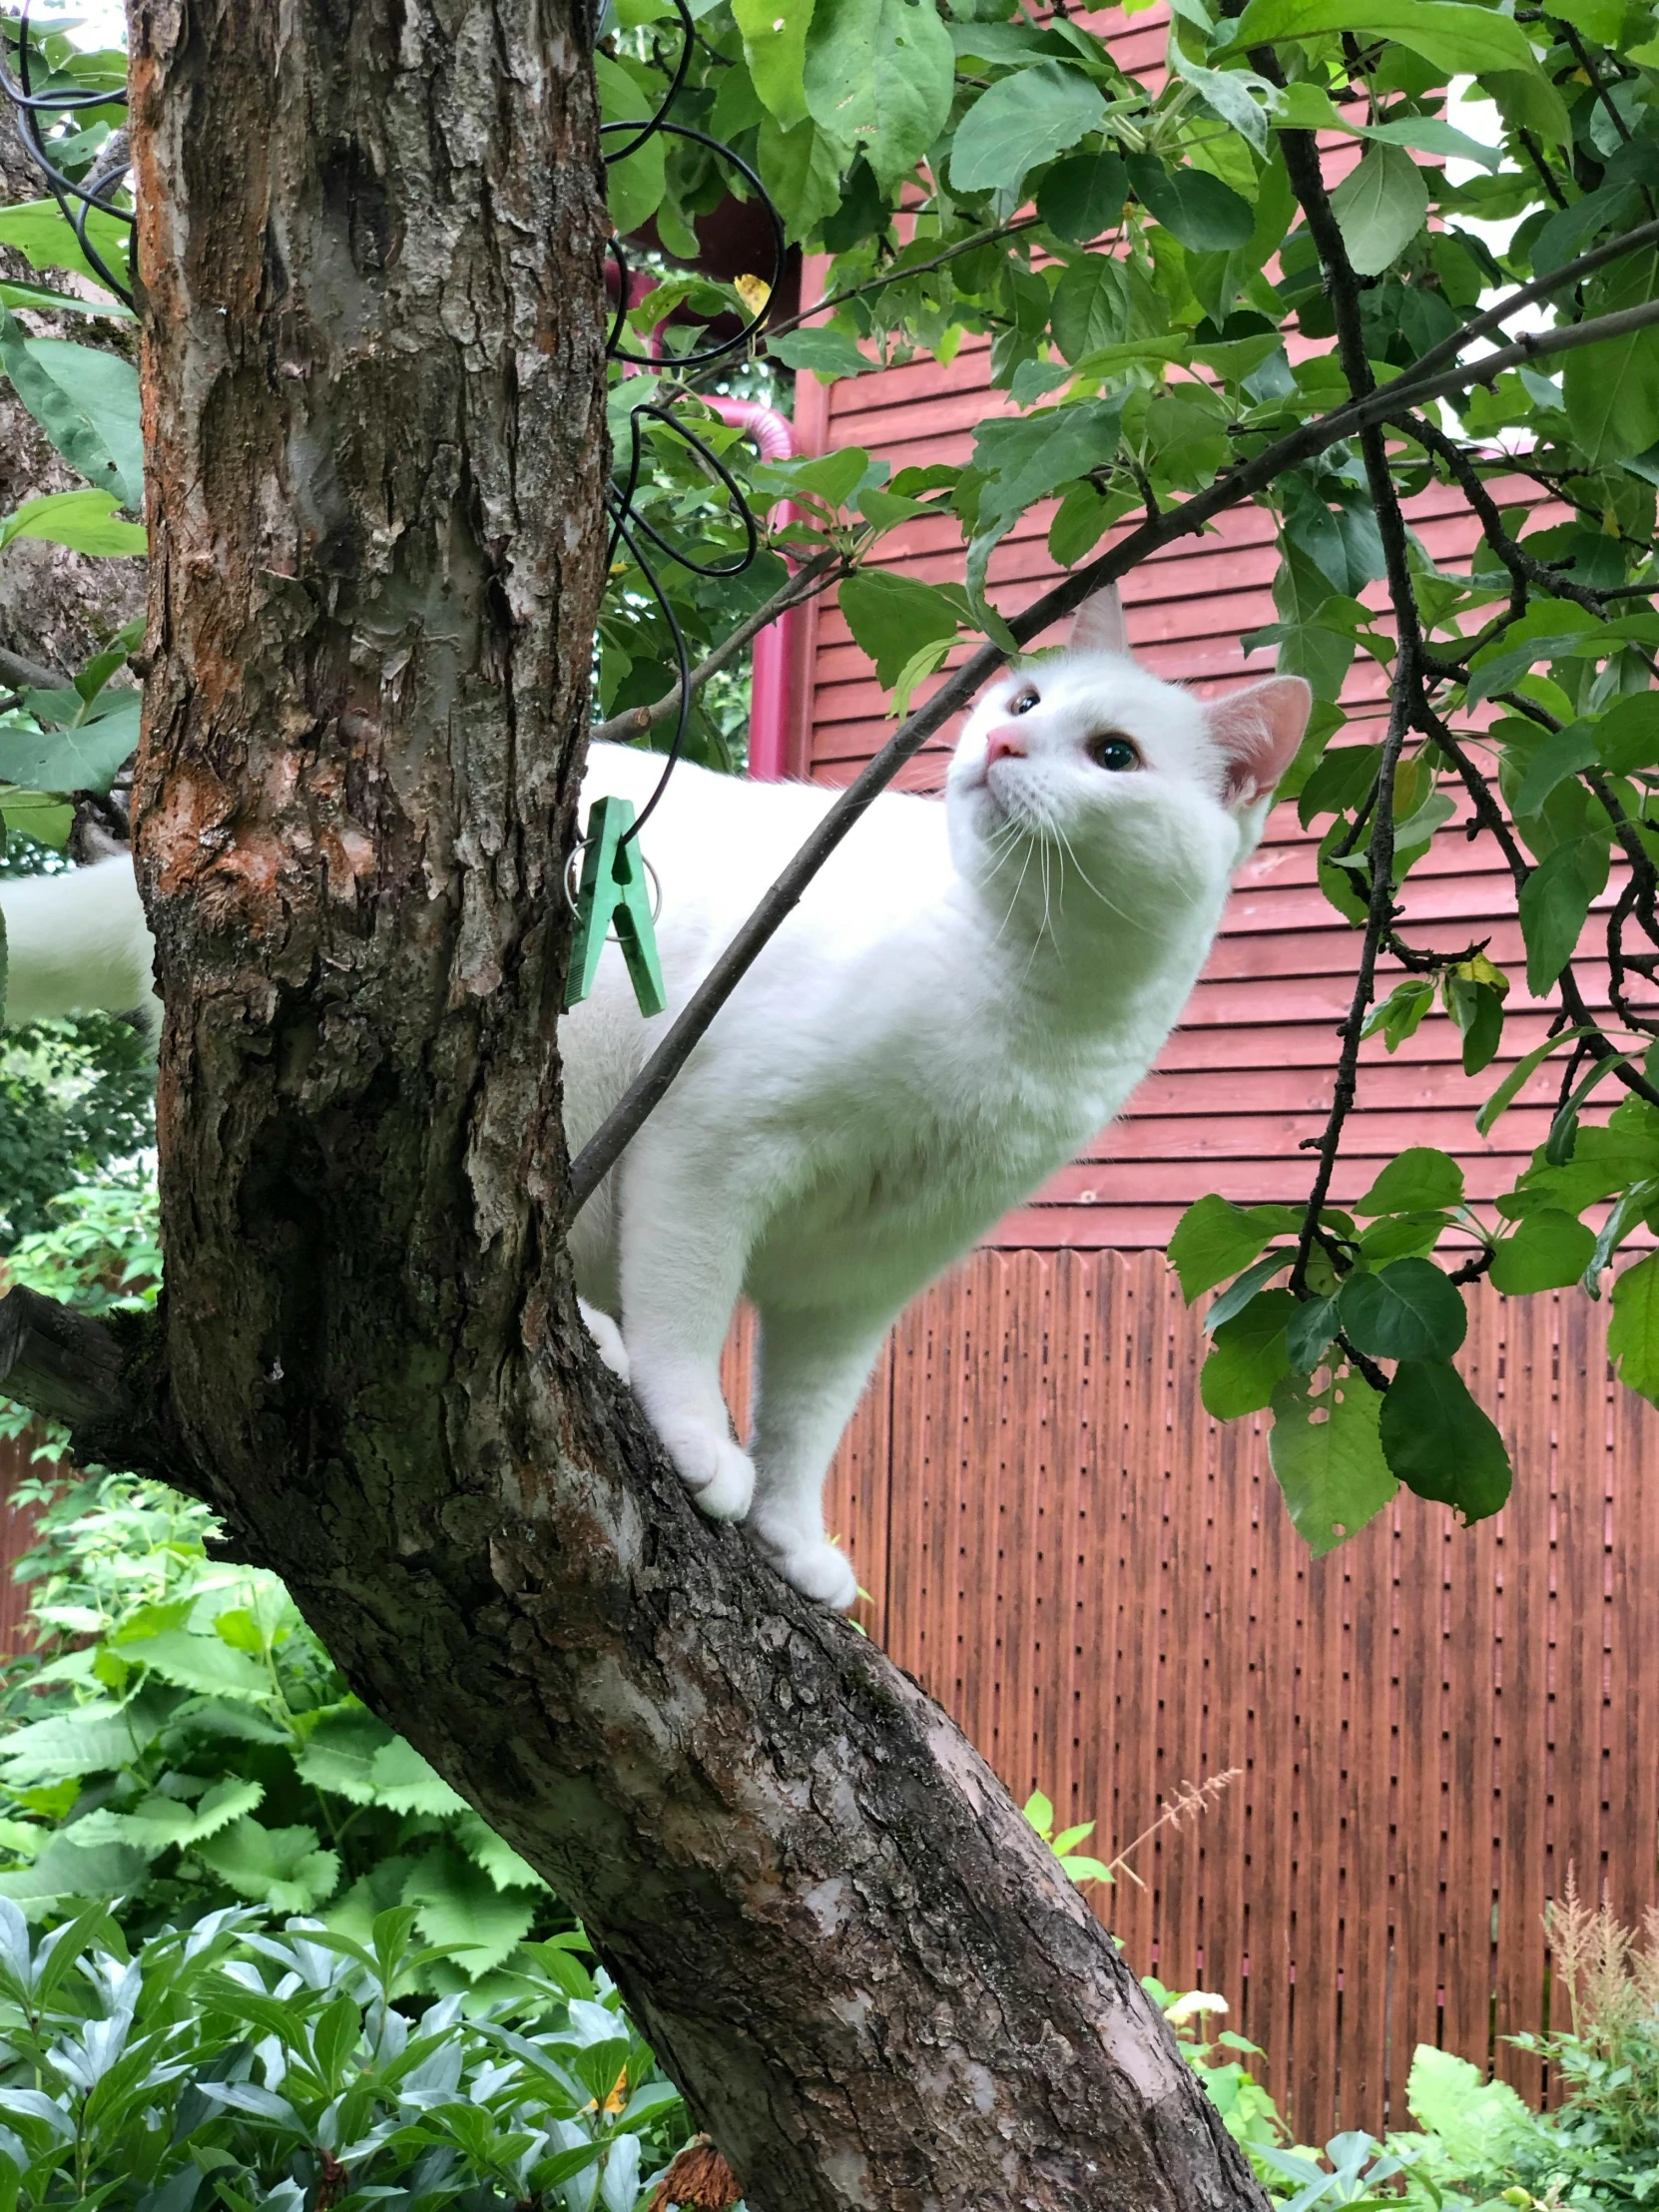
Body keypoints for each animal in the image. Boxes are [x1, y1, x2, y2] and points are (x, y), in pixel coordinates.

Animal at [0, 601, 1309, 1610]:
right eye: (1027, 695)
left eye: (1114, 754)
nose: (1000, 739)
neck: (1023, 990)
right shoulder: (714, 1145)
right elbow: (694, 1314)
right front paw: (694, 1439)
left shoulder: (858, 1285)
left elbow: (809, 1422)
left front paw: (793, 1533)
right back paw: (610, 1346)